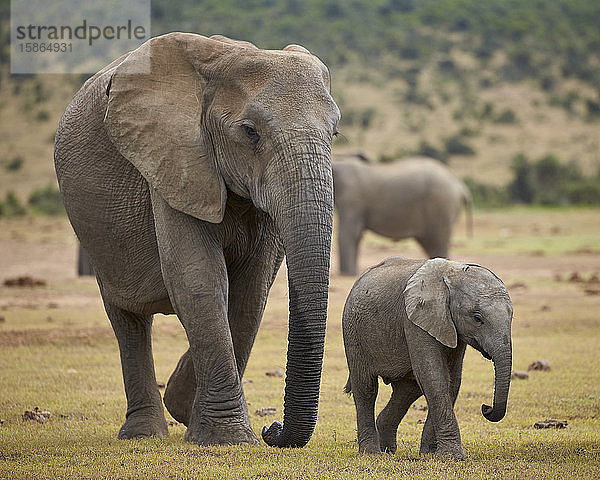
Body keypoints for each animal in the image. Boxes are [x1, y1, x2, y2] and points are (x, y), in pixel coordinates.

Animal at [54, 31, 340, 448]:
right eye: (250, 132)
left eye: (334, 132)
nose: (272, 429)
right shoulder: (173, 158)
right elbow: (199, 279)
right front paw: (228, 439)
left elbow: (250, 291)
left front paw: (189, 410)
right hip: (95, 233)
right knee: (127, 318)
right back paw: (143, 434)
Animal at [330, 156, 472, 276]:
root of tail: (460, 187)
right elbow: (356, 235)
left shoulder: (352, 197)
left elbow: (349, 234)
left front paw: (348, 275)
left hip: (441, 204)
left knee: (438, 241)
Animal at [344, 256, 512, 460]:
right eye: (477, 318)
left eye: (512, 316)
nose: (486, 408)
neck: (452, 274)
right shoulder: (415, 319)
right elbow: (434, 377)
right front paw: (452, 457)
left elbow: (451, 380)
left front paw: (430, 454)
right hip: (353, 331)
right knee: (366, 388)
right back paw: (372, 453)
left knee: (408, 390)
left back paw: (387, 450)